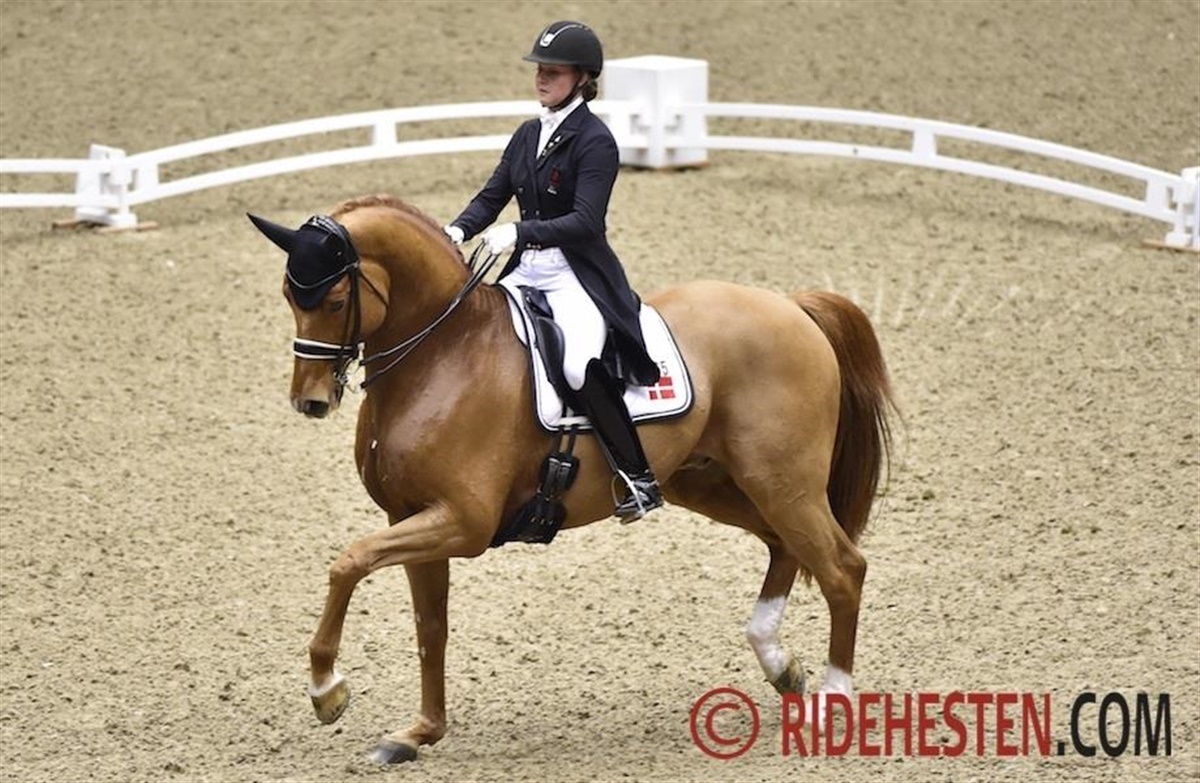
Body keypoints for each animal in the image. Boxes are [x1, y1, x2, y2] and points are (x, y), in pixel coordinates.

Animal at [249, 194, 895, 764]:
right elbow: (431, 627)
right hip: (714, 483)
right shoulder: (410, 516)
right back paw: (780, 665)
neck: (443, 353)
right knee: (786, 545)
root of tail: (791, 306)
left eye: (335, 300)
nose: (310, 402)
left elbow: (348, 563)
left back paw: (833, 700)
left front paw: (327, 690)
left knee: (843, 568)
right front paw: (418, 733)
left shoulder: (462, 524)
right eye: (287, 294)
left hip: (783, 483)